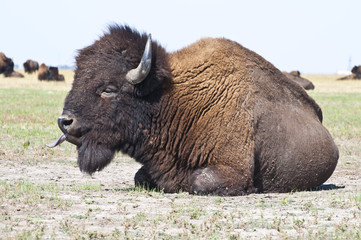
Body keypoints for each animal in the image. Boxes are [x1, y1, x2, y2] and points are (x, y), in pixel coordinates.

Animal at [47, 25, 338, 196]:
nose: (65, 121)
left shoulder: (232, 167)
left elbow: (199, 181)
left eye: (108, 89)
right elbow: (140, 177)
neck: (170, 98)